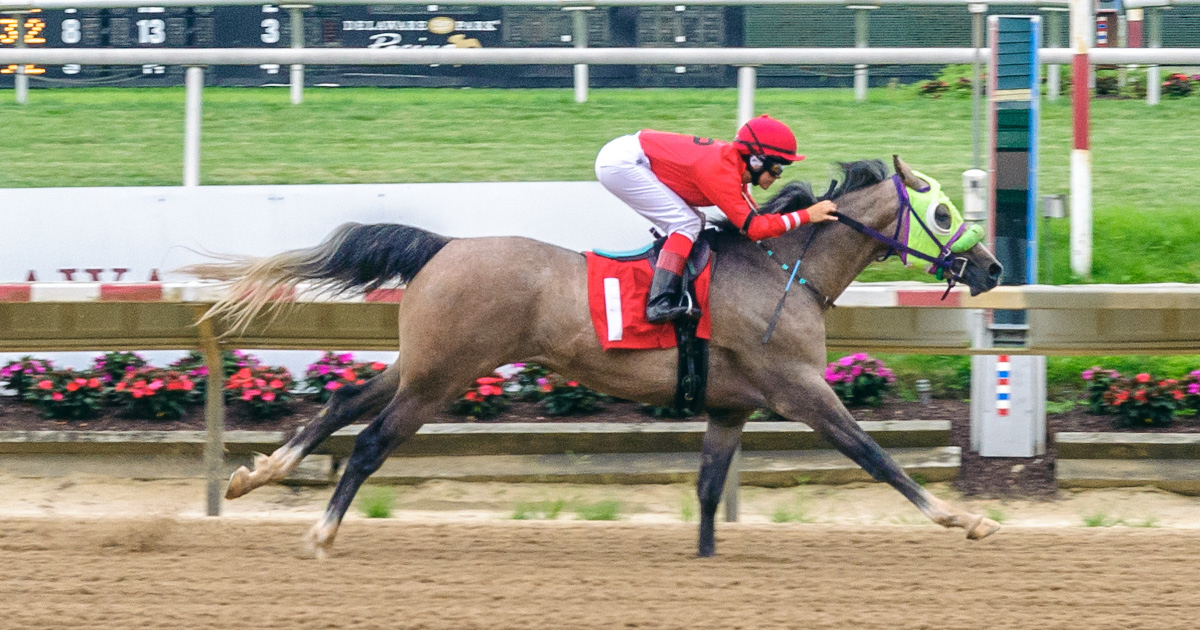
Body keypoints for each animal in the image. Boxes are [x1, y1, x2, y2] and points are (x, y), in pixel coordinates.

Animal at [187, 156, 1004, 559]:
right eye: (941, 213)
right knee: (369, 442)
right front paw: (963, 521)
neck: (782, 269)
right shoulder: (800, 388)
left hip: (422, 362)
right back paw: (320, 533)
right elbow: (876, 456)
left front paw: (707, 559)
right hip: (442, 377)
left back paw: (257, 475)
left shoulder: (729, 407)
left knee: (341, 402)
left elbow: (709, 489)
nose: (993, 268)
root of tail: (445, 246)